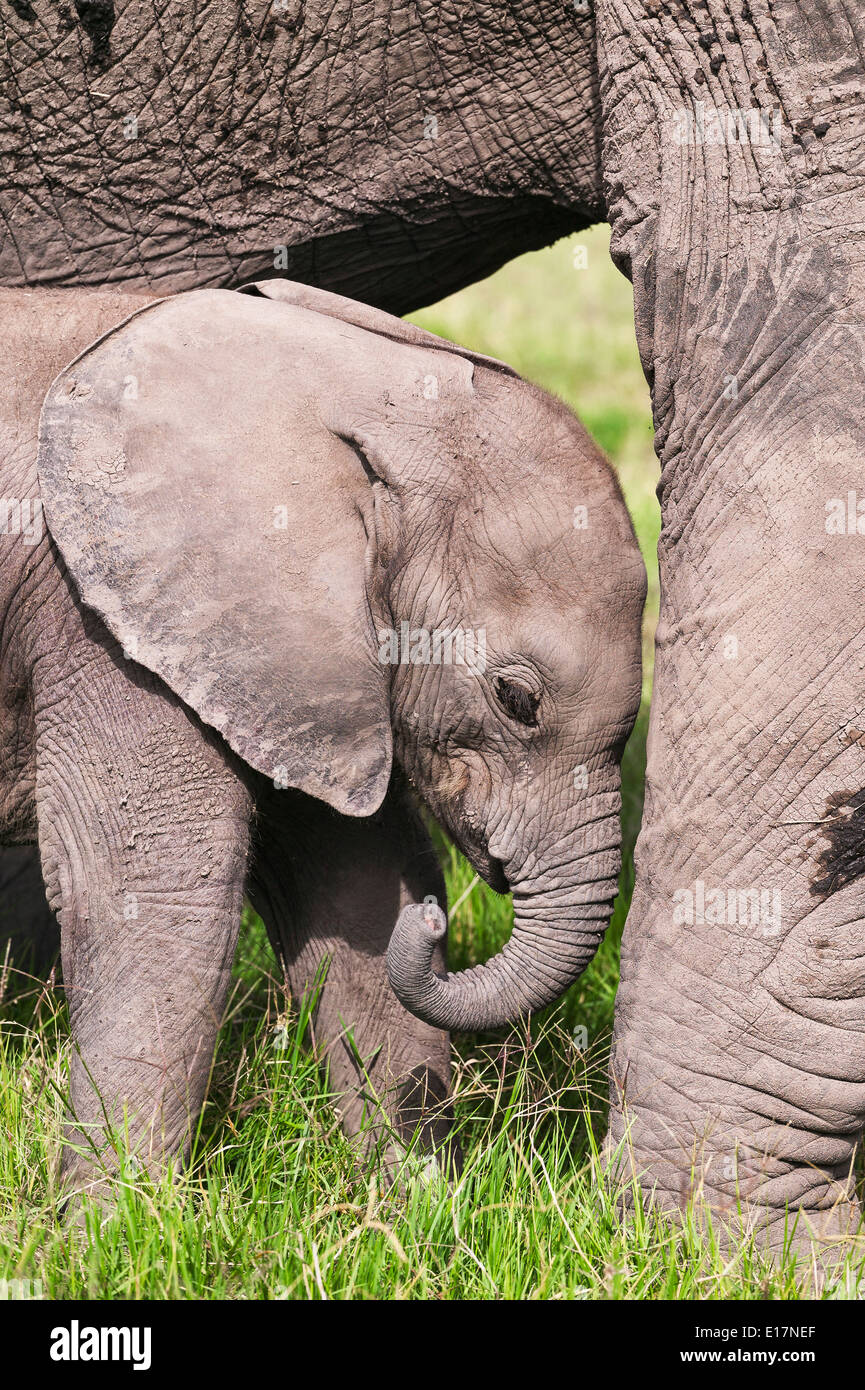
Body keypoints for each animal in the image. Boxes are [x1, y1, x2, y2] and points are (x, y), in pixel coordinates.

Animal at [0, 279, 645, 1195]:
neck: (362, 387)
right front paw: (112, 1213)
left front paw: (421, 1199)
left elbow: (359, 883)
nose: (442, 927)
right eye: (516, 699)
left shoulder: (295, 662)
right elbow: (156, 887)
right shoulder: (106, 620)